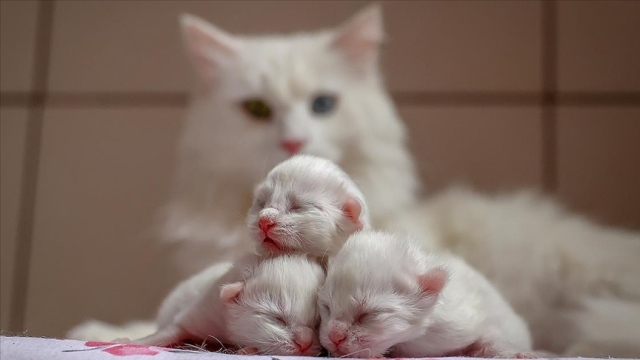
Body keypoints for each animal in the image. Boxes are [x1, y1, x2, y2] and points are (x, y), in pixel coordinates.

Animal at [136, 253, 324, 358]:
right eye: (277, 319)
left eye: (317, 324)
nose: (304, 344)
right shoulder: (204, 309)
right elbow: (172, 330)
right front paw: (136, 340)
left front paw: (249, 350)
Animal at [318, 231, 536, 358]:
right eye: (326, 307)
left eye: (369, 315)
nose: (334, 337)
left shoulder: (468, 319)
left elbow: (491, 336)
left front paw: (518, 353)